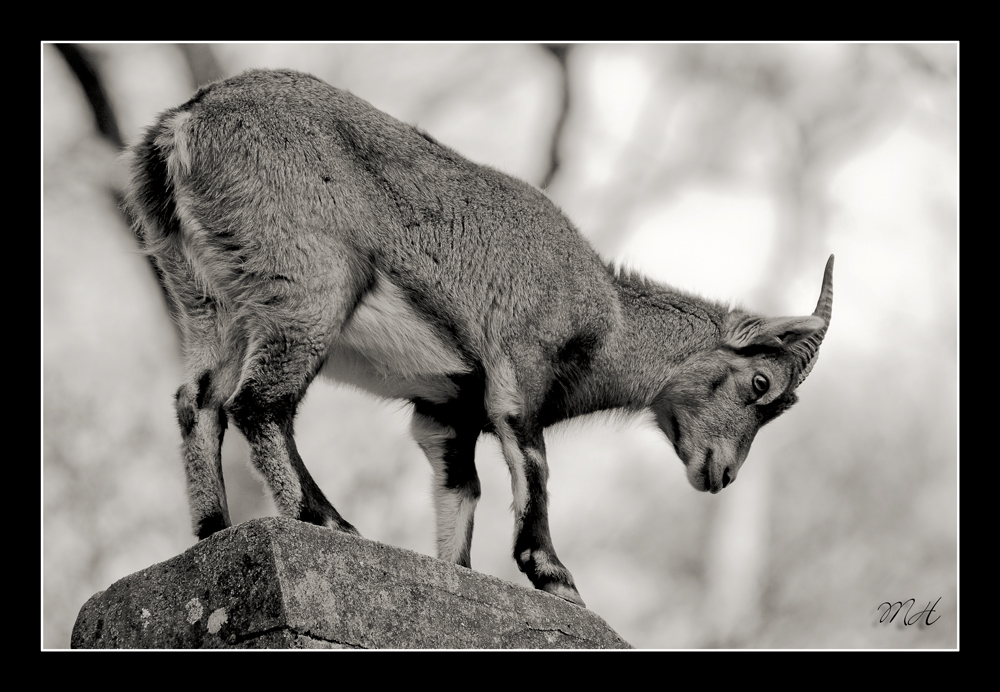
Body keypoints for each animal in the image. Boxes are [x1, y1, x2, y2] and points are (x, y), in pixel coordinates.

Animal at [125, 70, 832, 608]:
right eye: (761, 383)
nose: (722, 474)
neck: (608, 318)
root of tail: (181, 126)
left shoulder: (445, 412)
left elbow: (461, 497)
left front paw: (460, 576)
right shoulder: (519, 372)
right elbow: (534, 470)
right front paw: (558, 580)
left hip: (208, 303)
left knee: (198, 401)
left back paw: (212, 532)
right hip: (307, 291)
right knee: (258, 404)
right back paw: (327, 522)